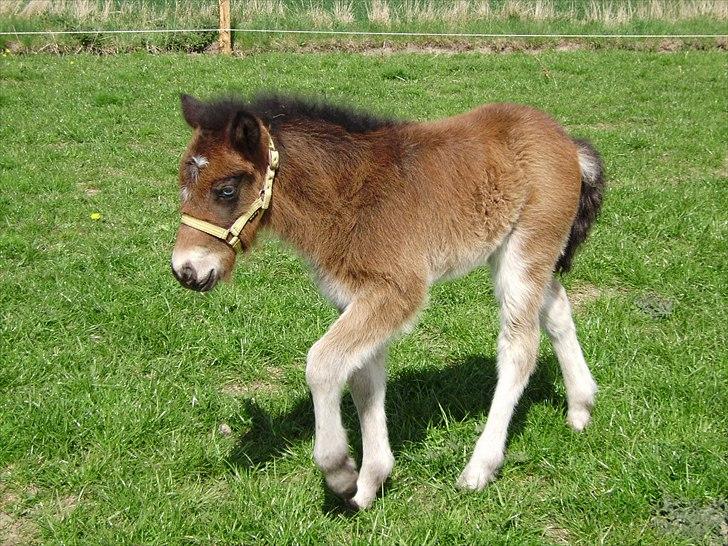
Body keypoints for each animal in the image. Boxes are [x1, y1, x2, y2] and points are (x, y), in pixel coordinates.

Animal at [169, 93, 604, 506]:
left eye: (226, 190)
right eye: (182, 184)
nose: (185, 271)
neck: (348, 193)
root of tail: (567, 141)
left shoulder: (396, 290)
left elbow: (322, 364)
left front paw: (340, 473)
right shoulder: (356, 297)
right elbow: (363, 378)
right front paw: (370, 482)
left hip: (526, 248)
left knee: (519, 347)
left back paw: (479, 468)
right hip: (518, 250)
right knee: (556, 308)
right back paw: (580, 408)